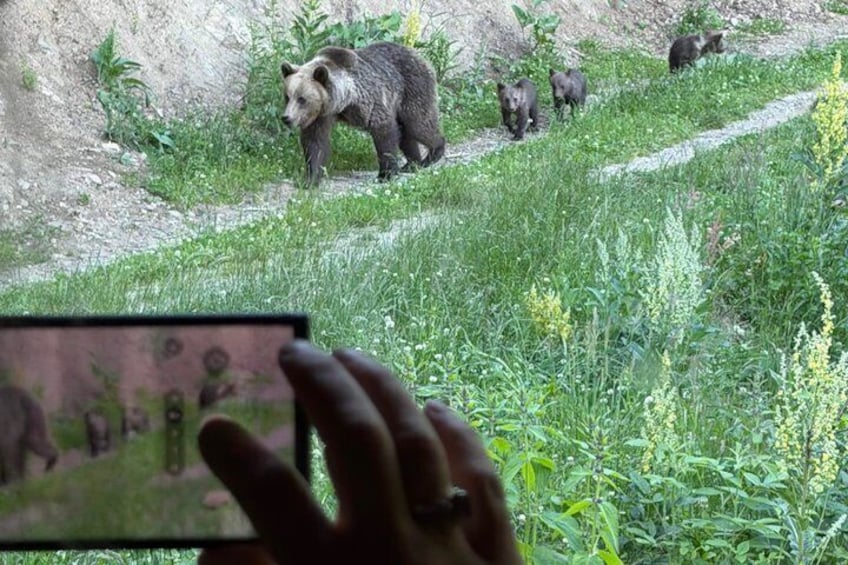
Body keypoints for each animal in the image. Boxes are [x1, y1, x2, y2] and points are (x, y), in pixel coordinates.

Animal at [281, 41, 446, 187]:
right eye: (287, 97)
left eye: (302, 99)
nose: (286, 118)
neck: (343, 100)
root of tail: (419, 55)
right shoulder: (322, 114)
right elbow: (315, 142)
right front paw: (310, 179)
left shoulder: (369, 100)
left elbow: (384, 133)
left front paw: (385, 174)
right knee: (405, 132)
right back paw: (412, 163)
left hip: (413, 88)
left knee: (418, 123)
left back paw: (433, 153)